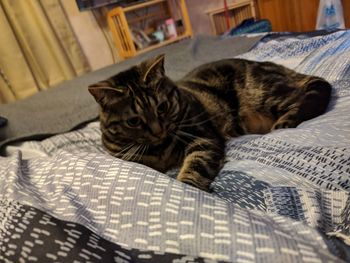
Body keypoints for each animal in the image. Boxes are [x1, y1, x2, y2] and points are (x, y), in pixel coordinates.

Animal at [89, 55, 332, 192]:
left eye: (162, 107)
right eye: (134, 121)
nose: (159, 130)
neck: (160, 150)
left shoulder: (203, 137)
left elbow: (196, 164)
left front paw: (188, 185)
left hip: (265, 93)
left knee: (312, 93)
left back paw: (287, 120)